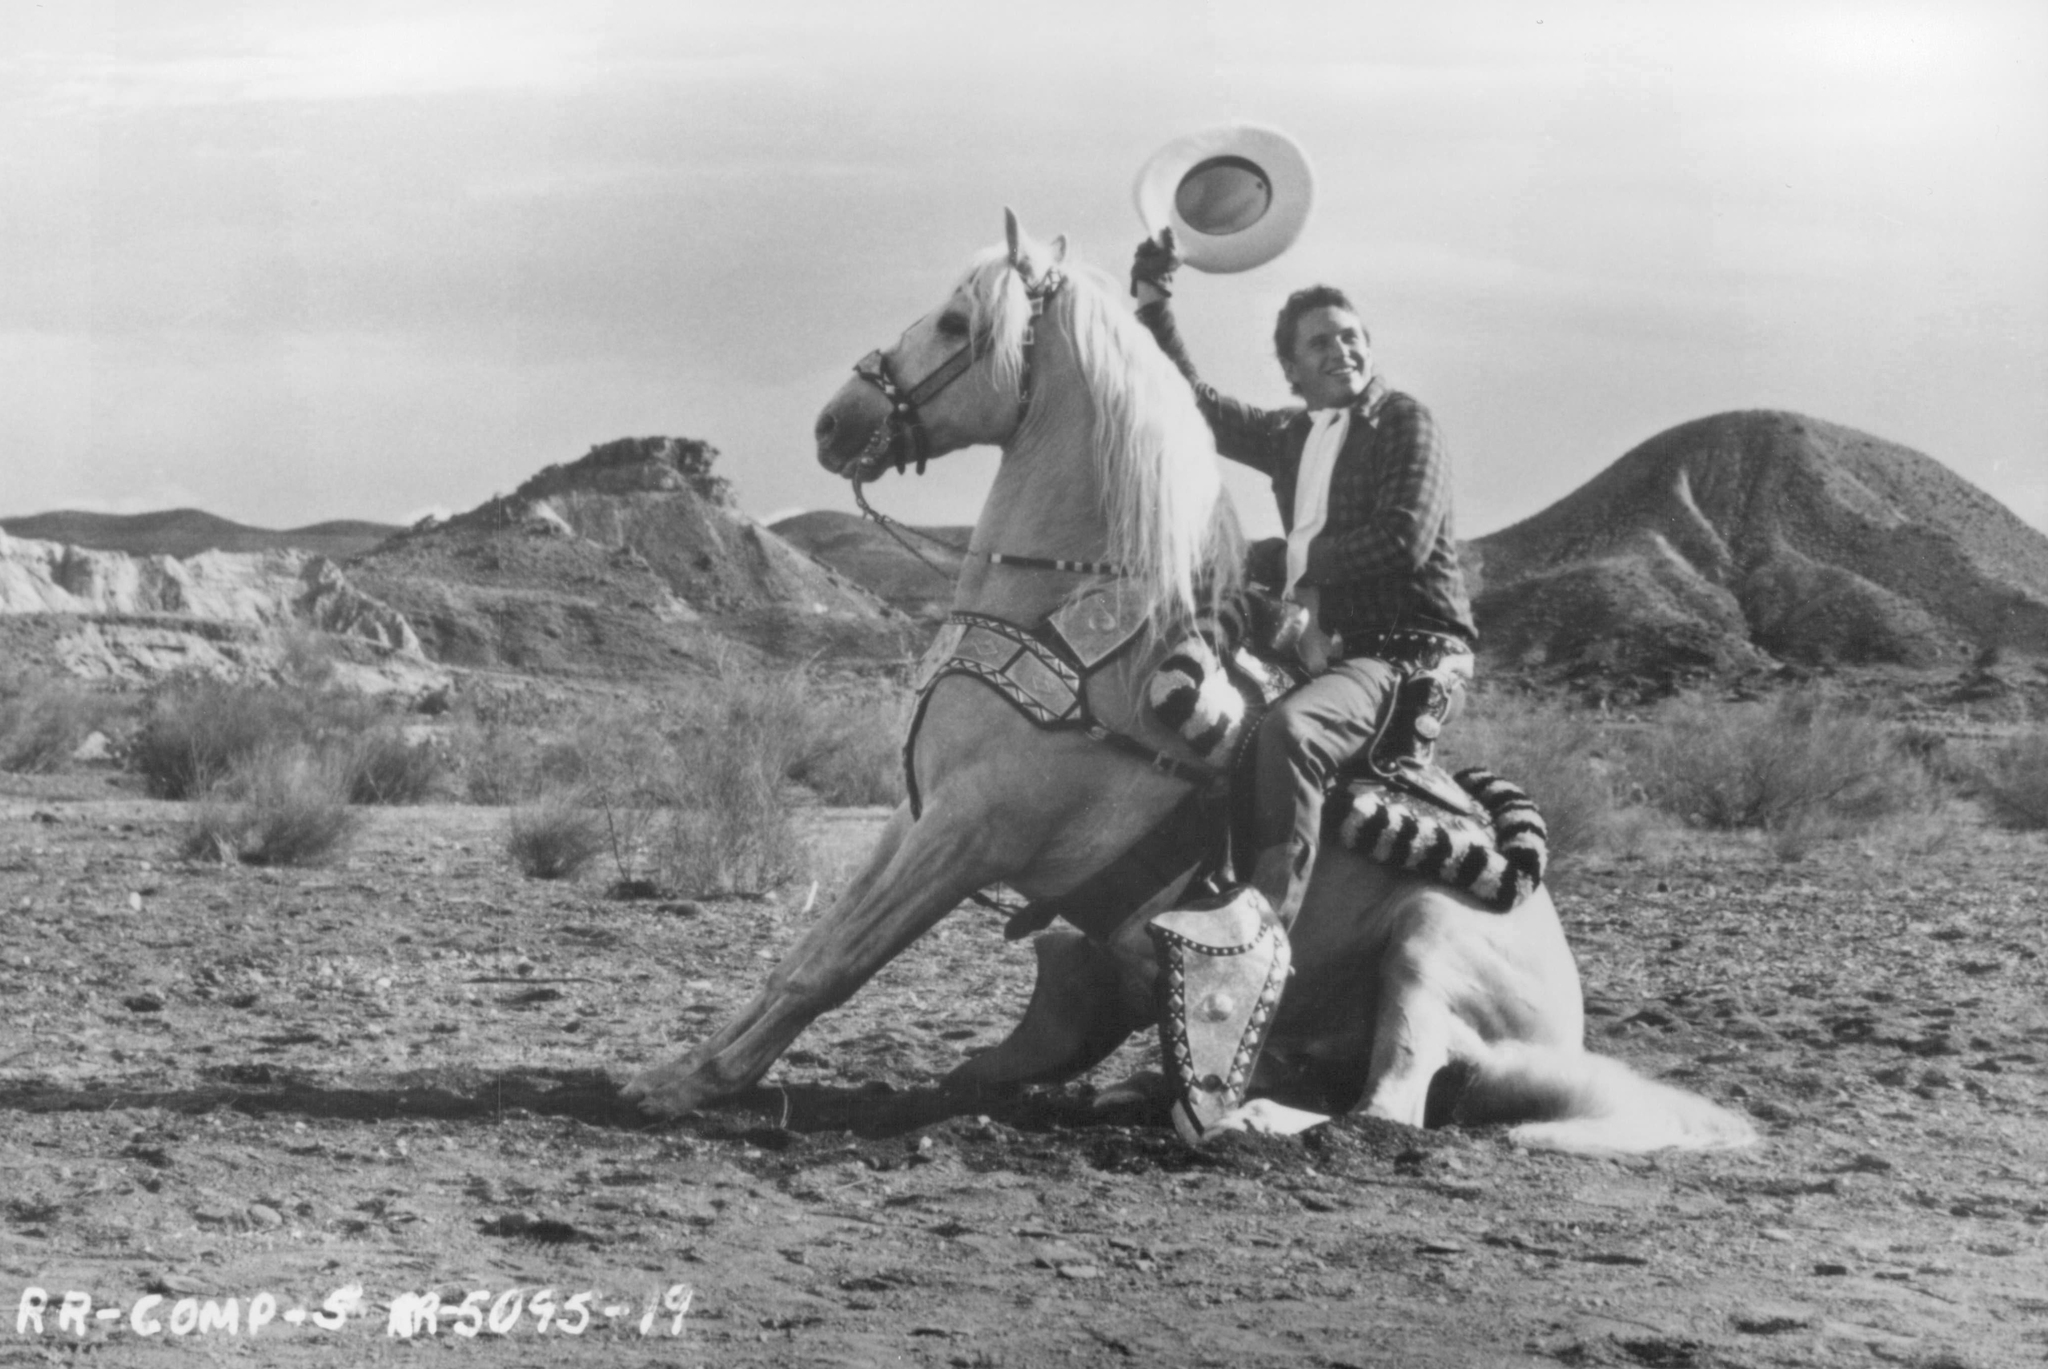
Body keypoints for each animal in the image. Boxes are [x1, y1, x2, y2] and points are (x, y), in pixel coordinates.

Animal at [626, 214, 1761, 1155]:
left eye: (955, 319)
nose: (836, 420)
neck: (1072, 619)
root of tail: (1562, 1034)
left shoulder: (975, 827)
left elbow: (839, 962)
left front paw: (689, 1084)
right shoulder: (917, 814)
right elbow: (808, 949)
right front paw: (690, 1064)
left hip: (1429, 949)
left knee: (1391, 1100)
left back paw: (1241, 1114)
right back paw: (1134, 1088)